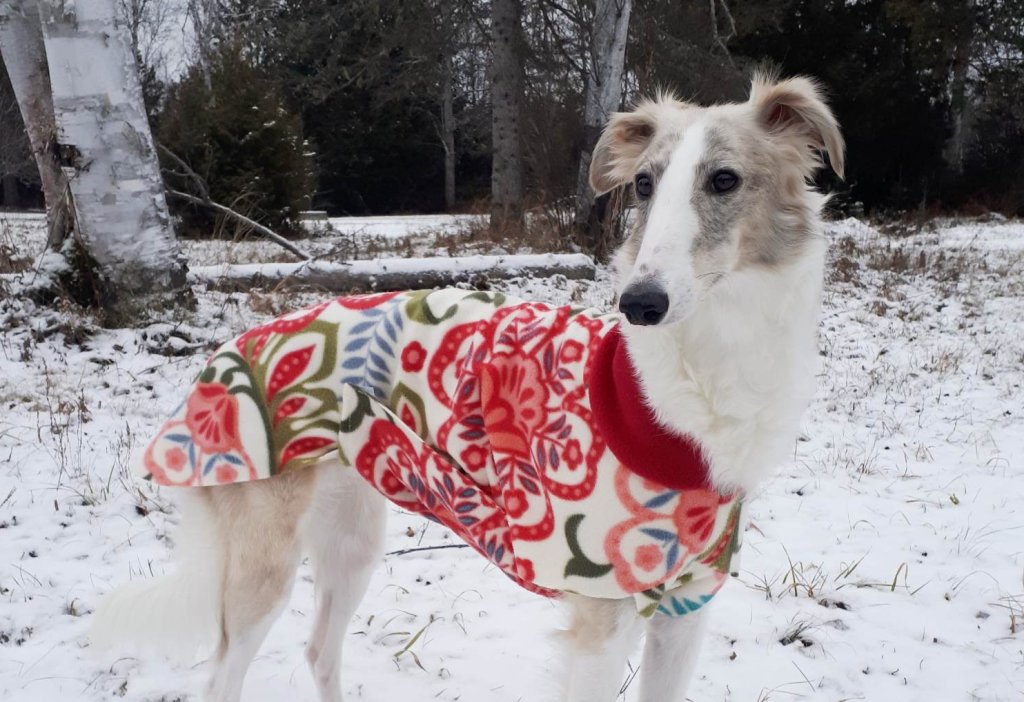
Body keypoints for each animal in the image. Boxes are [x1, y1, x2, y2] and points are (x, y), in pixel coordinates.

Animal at [94, 72, 847, 702]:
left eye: (724, 179)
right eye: (642, 185)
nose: (639, 303)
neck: (699, 384)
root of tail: (224, 356)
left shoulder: (687, 607)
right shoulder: (602, 620)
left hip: (352, 538)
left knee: (317, 650)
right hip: (266, 563)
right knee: (224, 675)